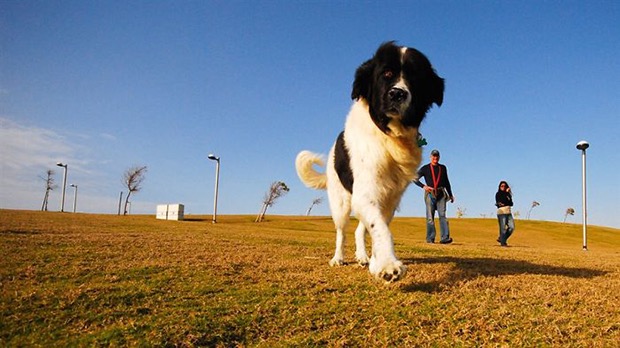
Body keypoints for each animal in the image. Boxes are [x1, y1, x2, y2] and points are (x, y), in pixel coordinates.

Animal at [298, 41, 444, 282]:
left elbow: (378, 227)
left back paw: (363, 257)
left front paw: (378, 262)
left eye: (414, 77)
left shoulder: (391, 198)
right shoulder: (365, 194)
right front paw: (387, 265)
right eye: (386, 74)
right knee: (342, 232)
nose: (397, 93)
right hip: (340, 204)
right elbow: (381, 229)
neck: (388, 136)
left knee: (359, 229)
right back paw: (338, 258)